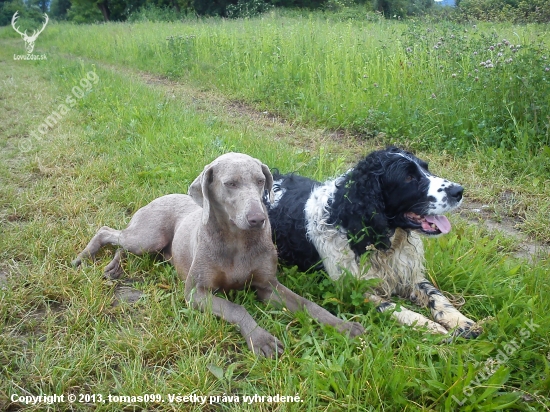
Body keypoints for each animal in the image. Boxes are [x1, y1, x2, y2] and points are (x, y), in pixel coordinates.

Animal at [74, 153, 366, 356]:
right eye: (230, 184)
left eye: (261, 181)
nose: (258, 219)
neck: (237, 241)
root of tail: (158, 198)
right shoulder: (195, 292)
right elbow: (237, 308)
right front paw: (260, 338)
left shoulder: (268, 286)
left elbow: (308, 304)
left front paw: (343, 326)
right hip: (148, 238)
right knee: (108, 231)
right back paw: (85, 256)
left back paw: (112, 267)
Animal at [270, 147, 480, 338]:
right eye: (408, 178)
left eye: (426, 168)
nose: (459, 191)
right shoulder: (353, 288)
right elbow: (392, 307)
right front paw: (429, 326)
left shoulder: (408, 273)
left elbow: (436, 295)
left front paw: (461, 322)